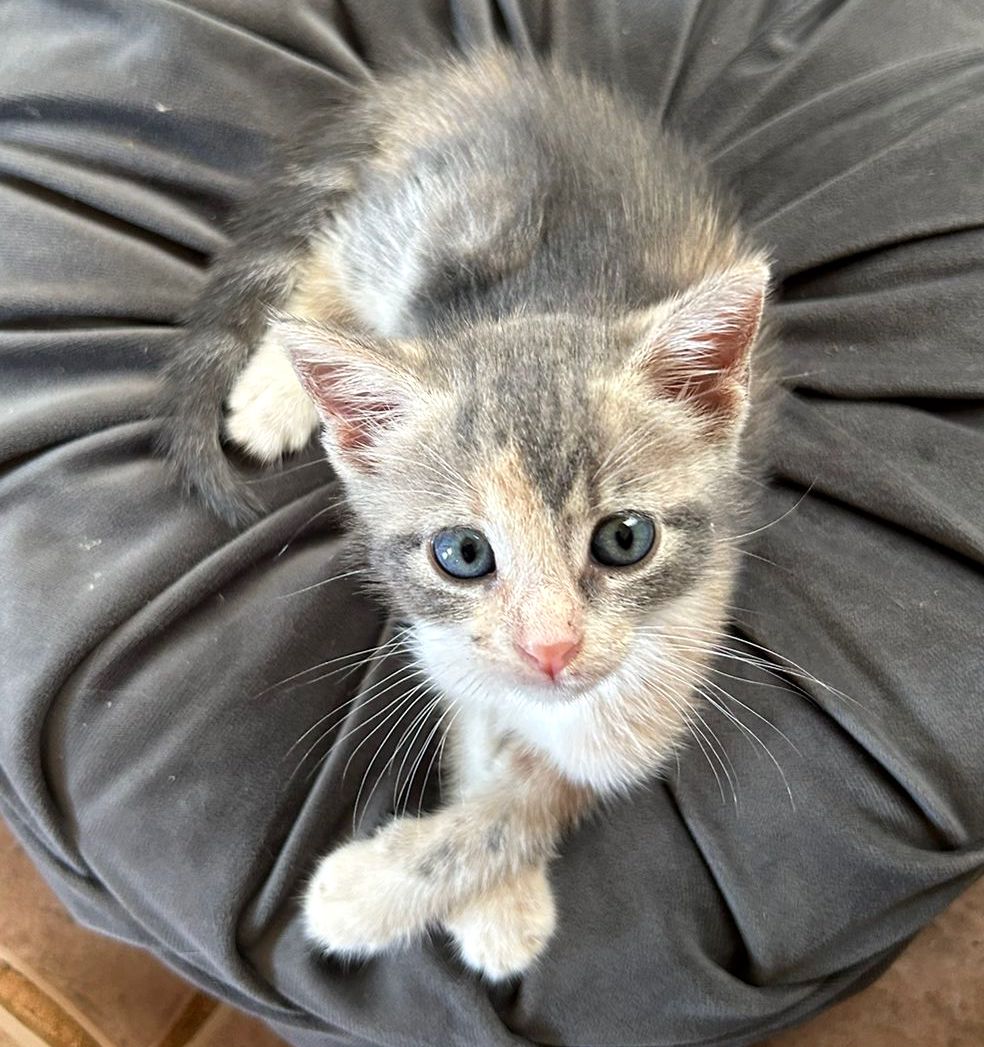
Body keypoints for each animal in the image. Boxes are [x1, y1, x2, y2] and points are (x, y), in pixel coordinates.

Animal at [159, 49, 770, 979]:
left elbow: (527, 798)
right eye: (464, 553)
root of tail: (488, 77)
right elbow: (479, 734)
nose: (551, 648)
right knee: (328, 261)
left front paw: (469, 897)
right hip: (415, 235)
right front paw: (387, 892)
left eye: (625, 539)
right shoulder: (445, 645)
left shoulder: (664, 677)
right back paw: (277, 387)